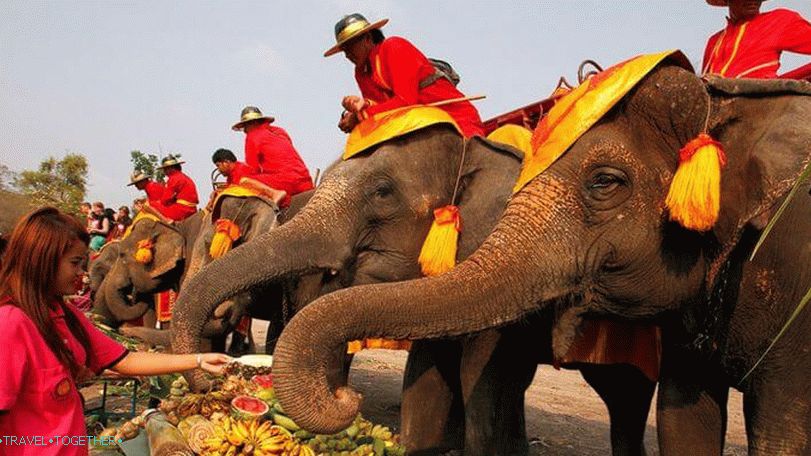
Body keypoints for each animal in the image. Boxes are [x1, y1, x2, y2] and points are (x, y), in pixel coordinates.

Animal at [171, 125, 658, 455]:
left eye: (383, 192)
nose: (349, 398)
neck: (475, 146)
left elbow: (483, 372)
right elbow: (429, 366)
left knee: (626, 396)